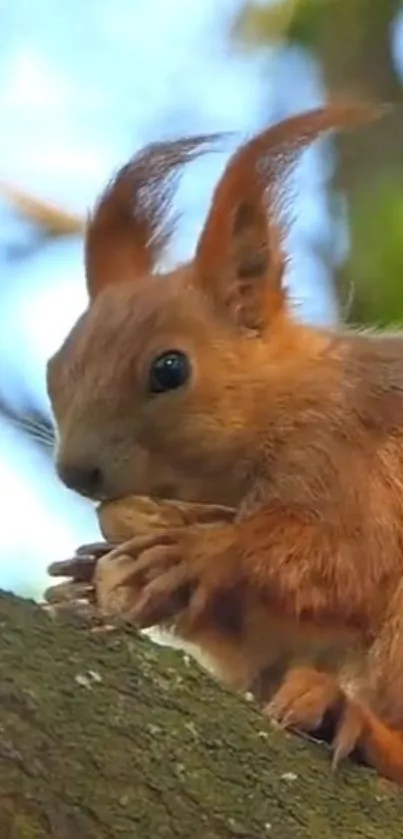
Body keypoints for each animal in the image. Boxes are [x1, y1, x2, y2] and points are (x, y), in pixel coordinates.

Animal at [44, 101, 403, 792]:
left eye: (170, 369)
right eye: (54, 369)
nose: (75, 472)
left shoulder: (340, 450)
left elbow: (347, 557)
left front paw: (206, 552)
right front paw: (94, 570)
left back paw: (352, 721)